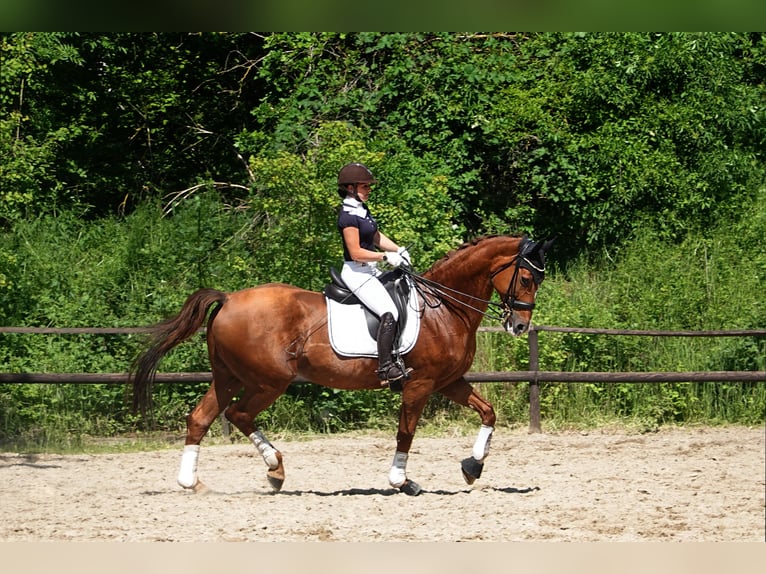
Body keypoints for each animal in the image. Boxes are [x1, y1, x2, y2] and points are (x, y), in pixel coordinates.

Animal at [130, 234, 552, 496]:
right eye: (526, 278)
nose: (519, 325)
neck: (444, 307)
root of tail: (230, 298)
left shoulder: (448, 381)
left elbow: (489, 412)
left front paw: (472, 467)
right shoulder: (420, 384)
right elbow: (406, 433)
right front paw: (401, 481)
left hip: (228, 376)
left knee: (201, 418)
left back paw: (196, 483)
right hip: (269, 380)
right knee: (238, 414)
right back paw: (274, 468)